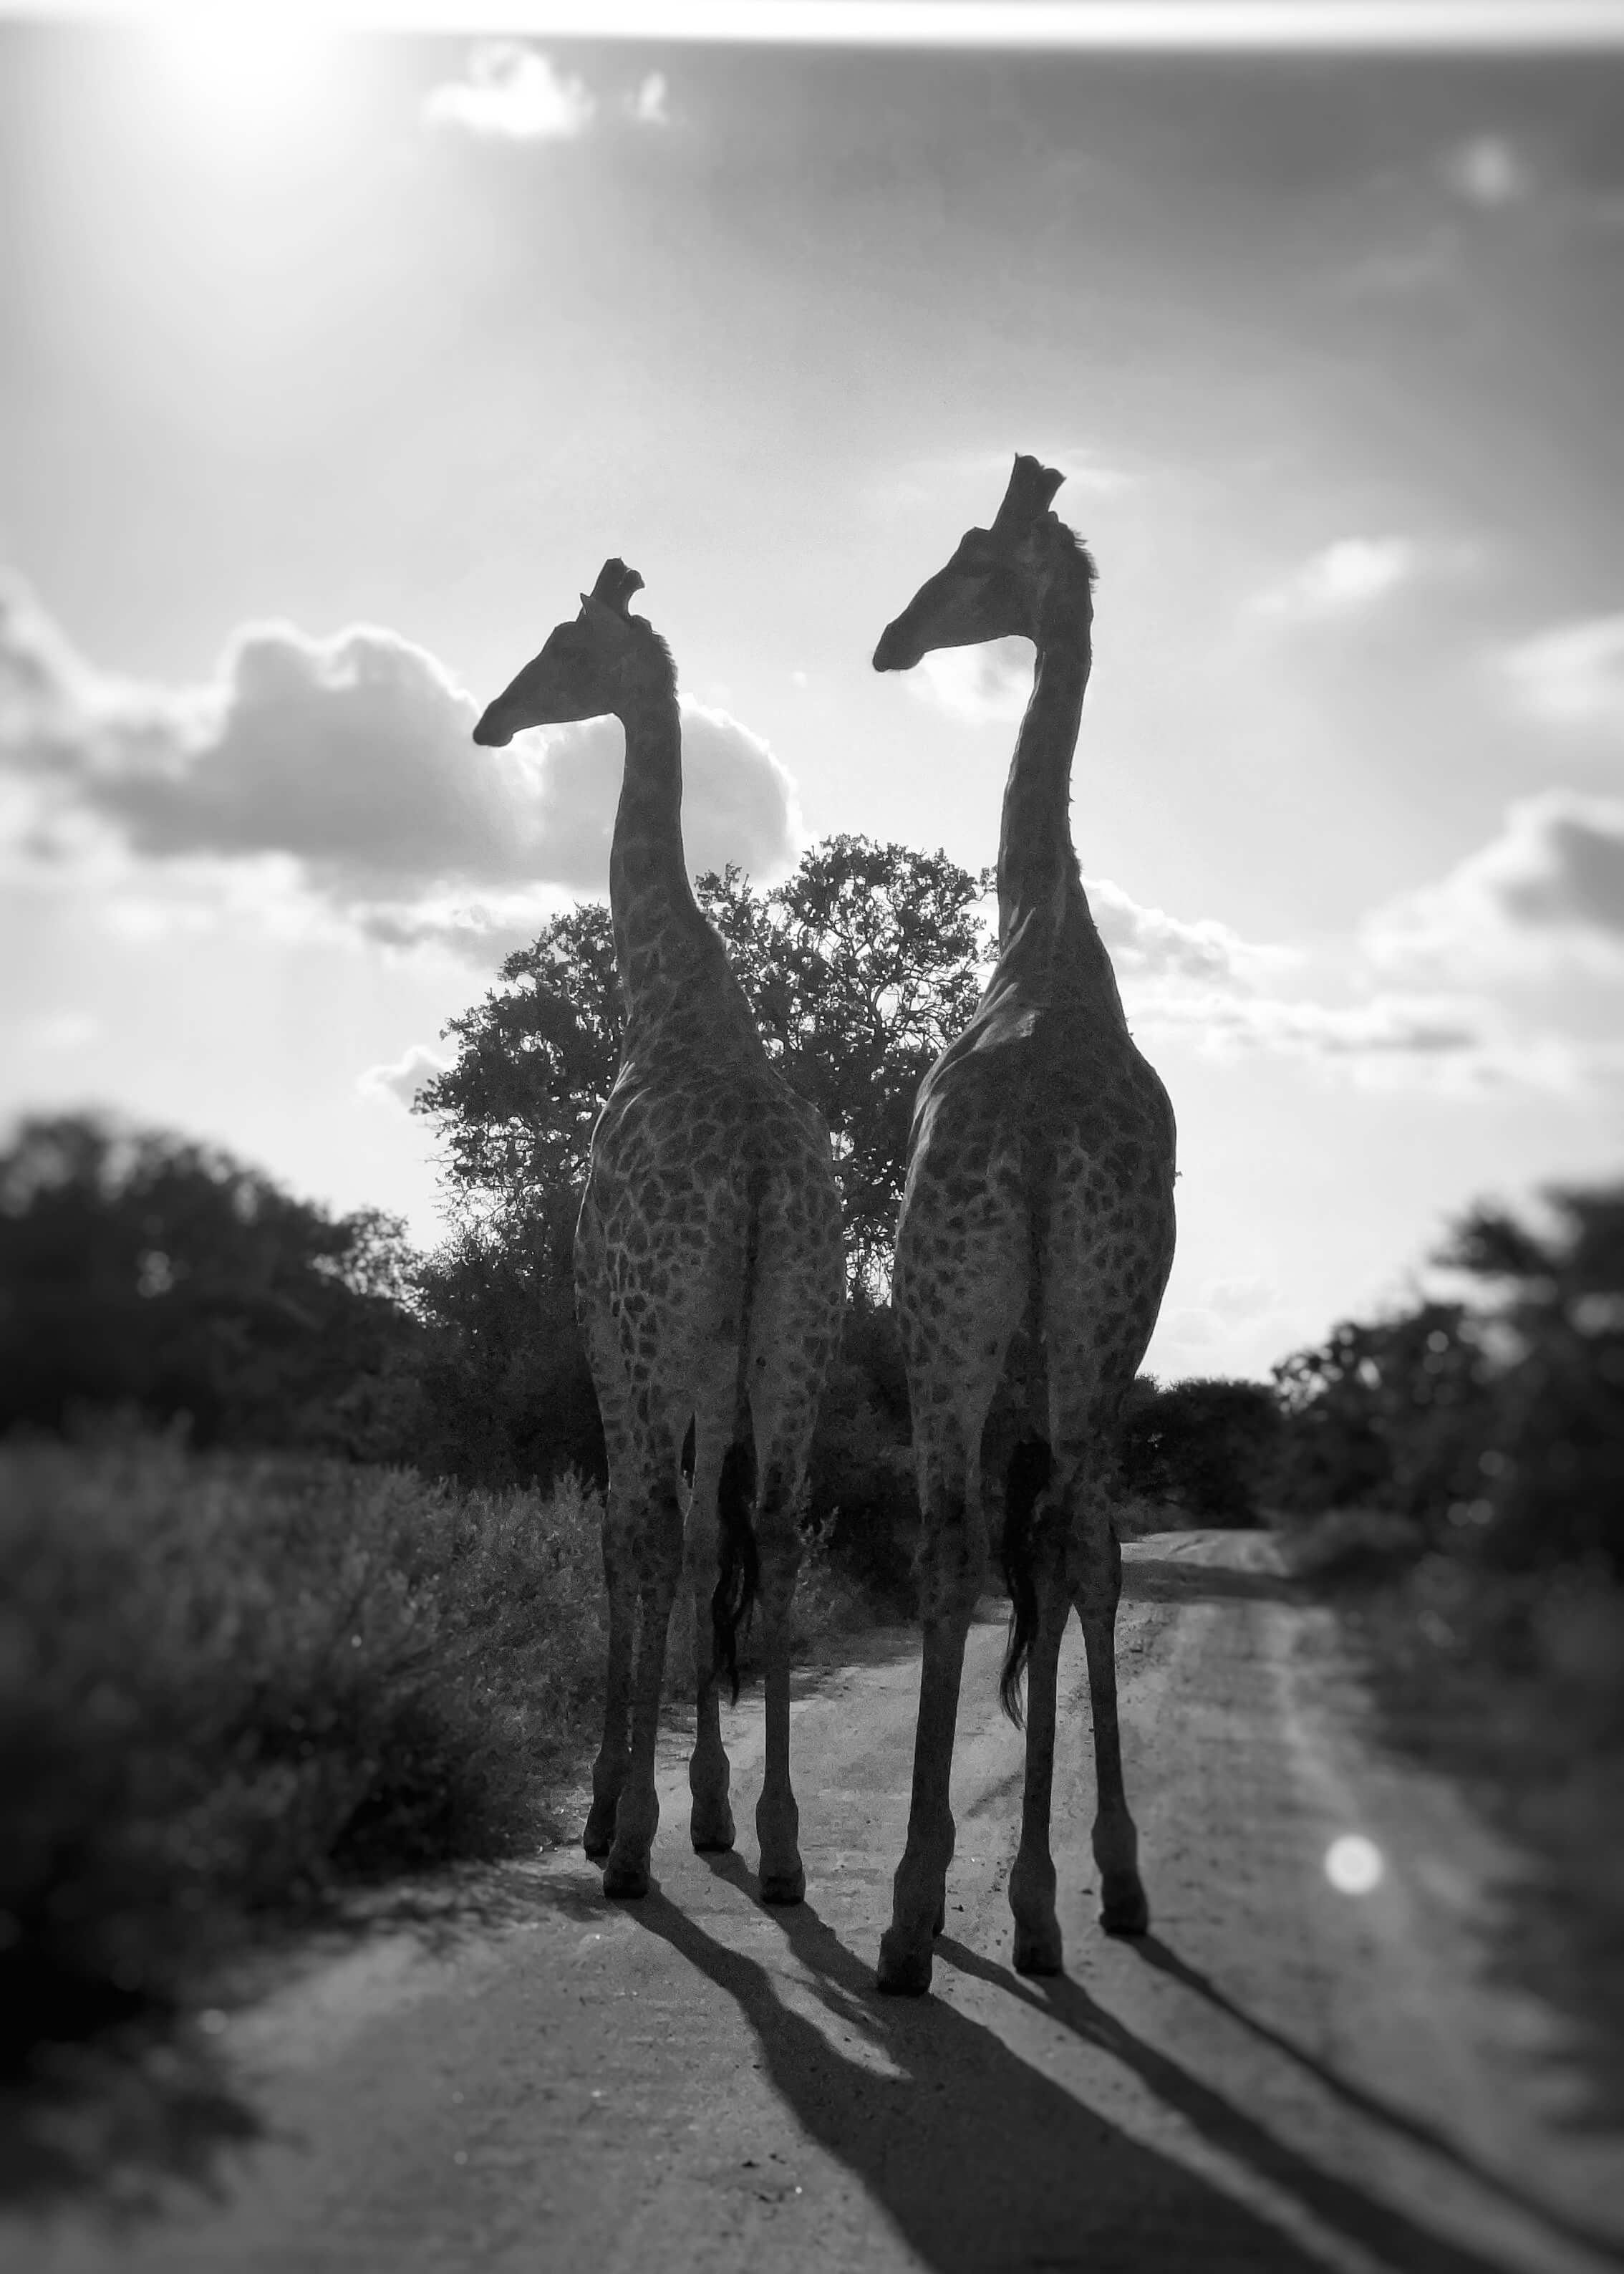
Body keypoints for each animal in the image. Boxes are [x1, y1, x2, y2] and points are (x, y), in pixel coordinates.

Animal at [470, 554, 841, 1901]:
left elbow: (626, 1528)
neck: (666, 997)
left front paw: (609, 1807)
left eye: (562, 647)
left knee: (657, 1520)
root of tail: (760, 1169)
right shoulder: (718, 1350)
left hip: (660, 1325)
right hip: (797, 1327)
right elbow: (700, 1535)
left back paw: (632, 1845)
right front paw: (714, 1805)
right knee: (773, 1524)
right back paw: (781, 1843)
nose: (492, 718)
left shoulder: (610, 1319)